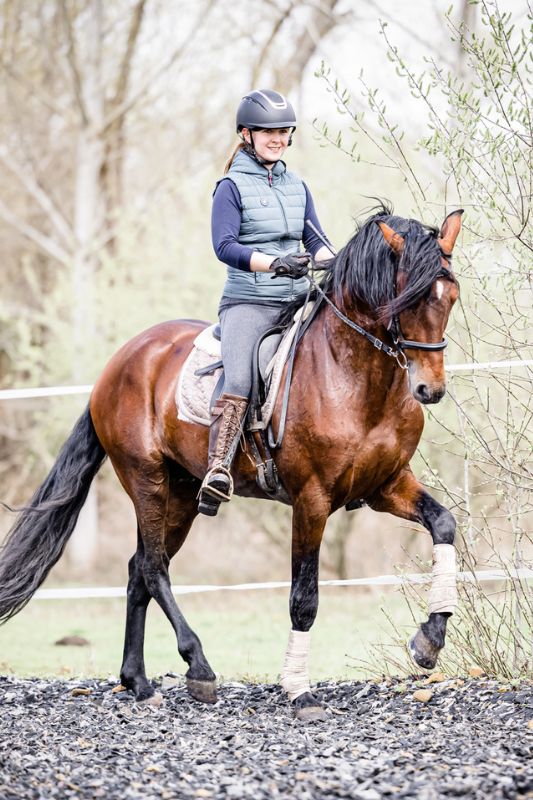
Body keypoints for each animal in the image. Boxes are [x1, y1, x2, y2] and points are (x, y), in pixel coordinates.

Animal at [0, 205, 462, 720]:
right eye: (408, 299)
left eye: (450, 297)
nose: (429, 390)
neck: (354, 376)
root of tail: (120, 361)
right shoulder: (312, 500)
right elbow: (304, 598)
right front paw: (299, 690)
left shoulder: (387, 484)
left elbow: (444, 525)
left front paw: (429, 640)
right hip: (145, 480)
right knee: (153, 568)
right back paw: (198, 668)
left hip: (182, 492)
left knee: (139, 569)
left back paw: (138, 682)